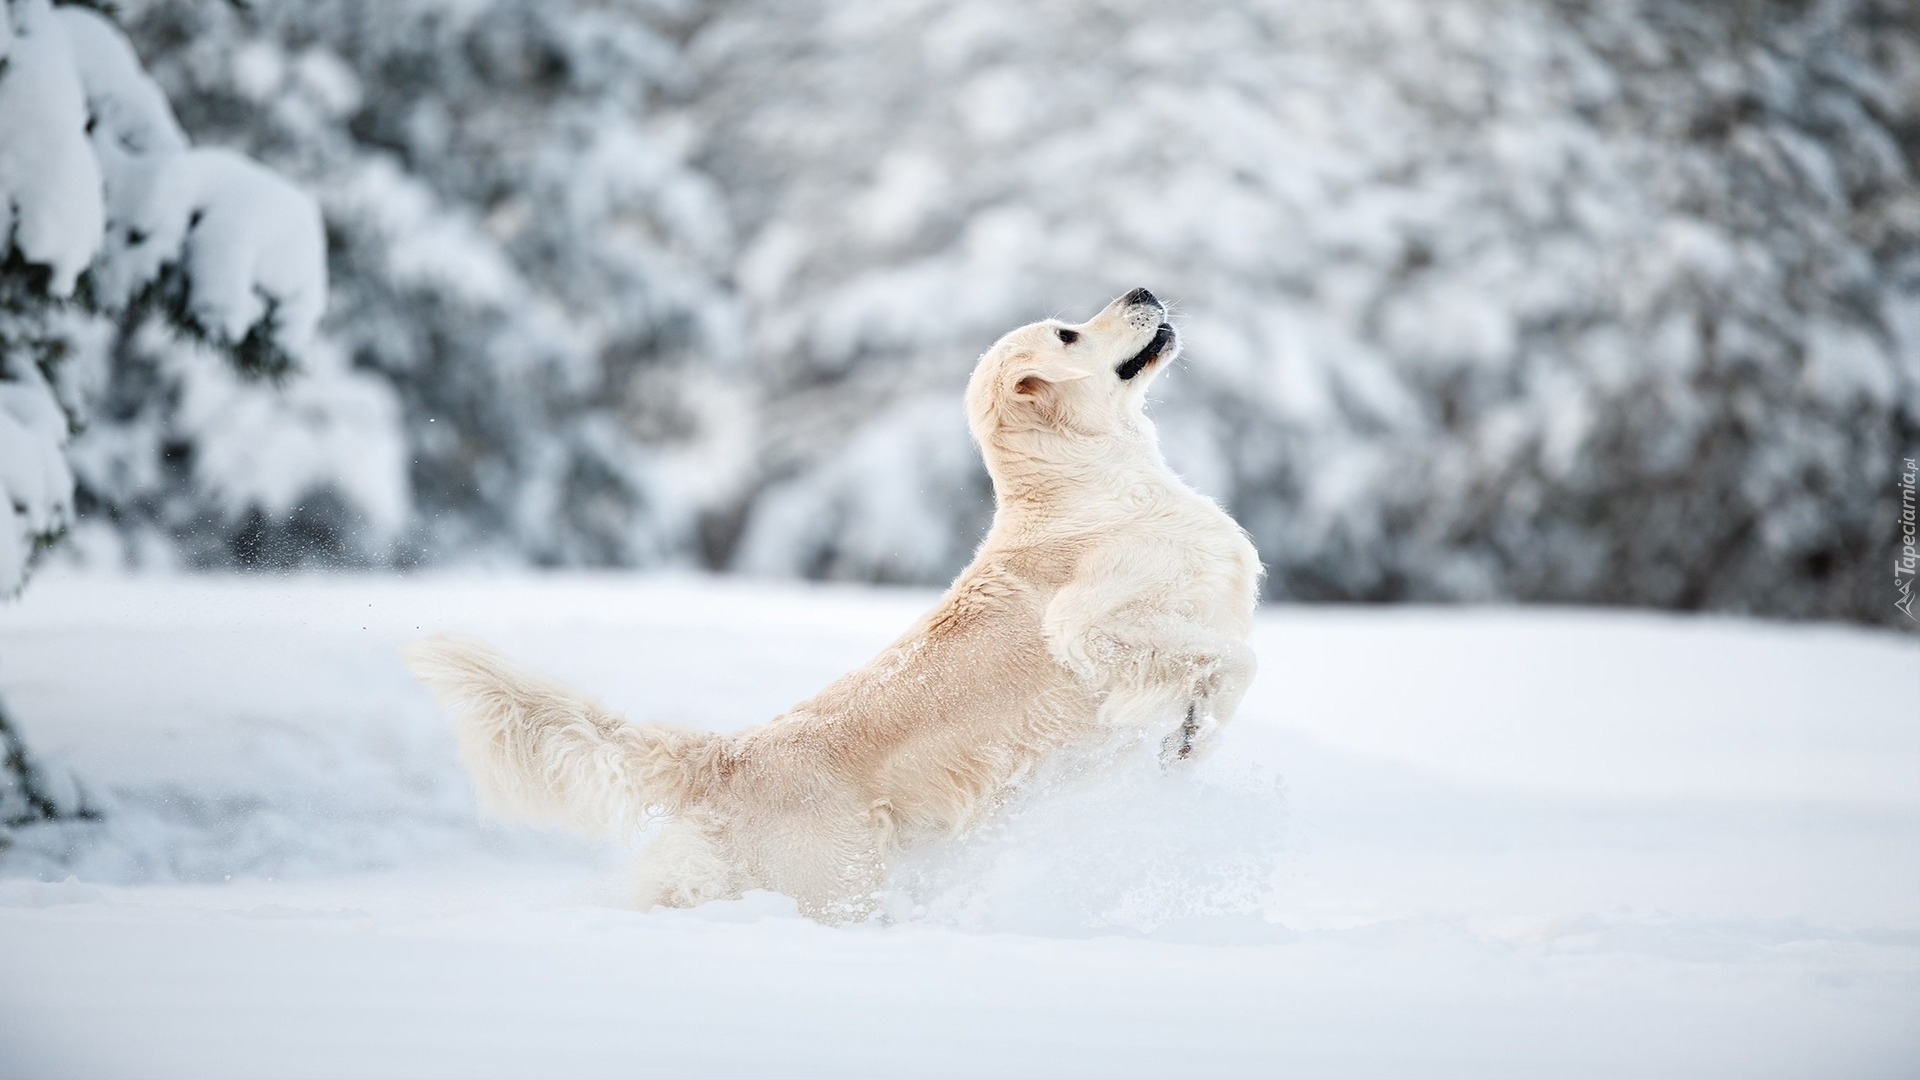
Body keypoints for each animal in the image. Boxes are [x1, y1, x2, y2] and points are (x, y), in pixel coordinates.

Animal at [405, 286, 1259, 914]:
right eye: (1068, 334)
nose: (1141, 289)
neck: (1083, 485)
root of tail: (731, 757)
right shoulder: (1086, 629)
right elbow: (1222, 663)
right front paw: (1189, 733)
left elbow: (1229, 662)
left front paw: (1188, 743)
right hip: (838, 888)